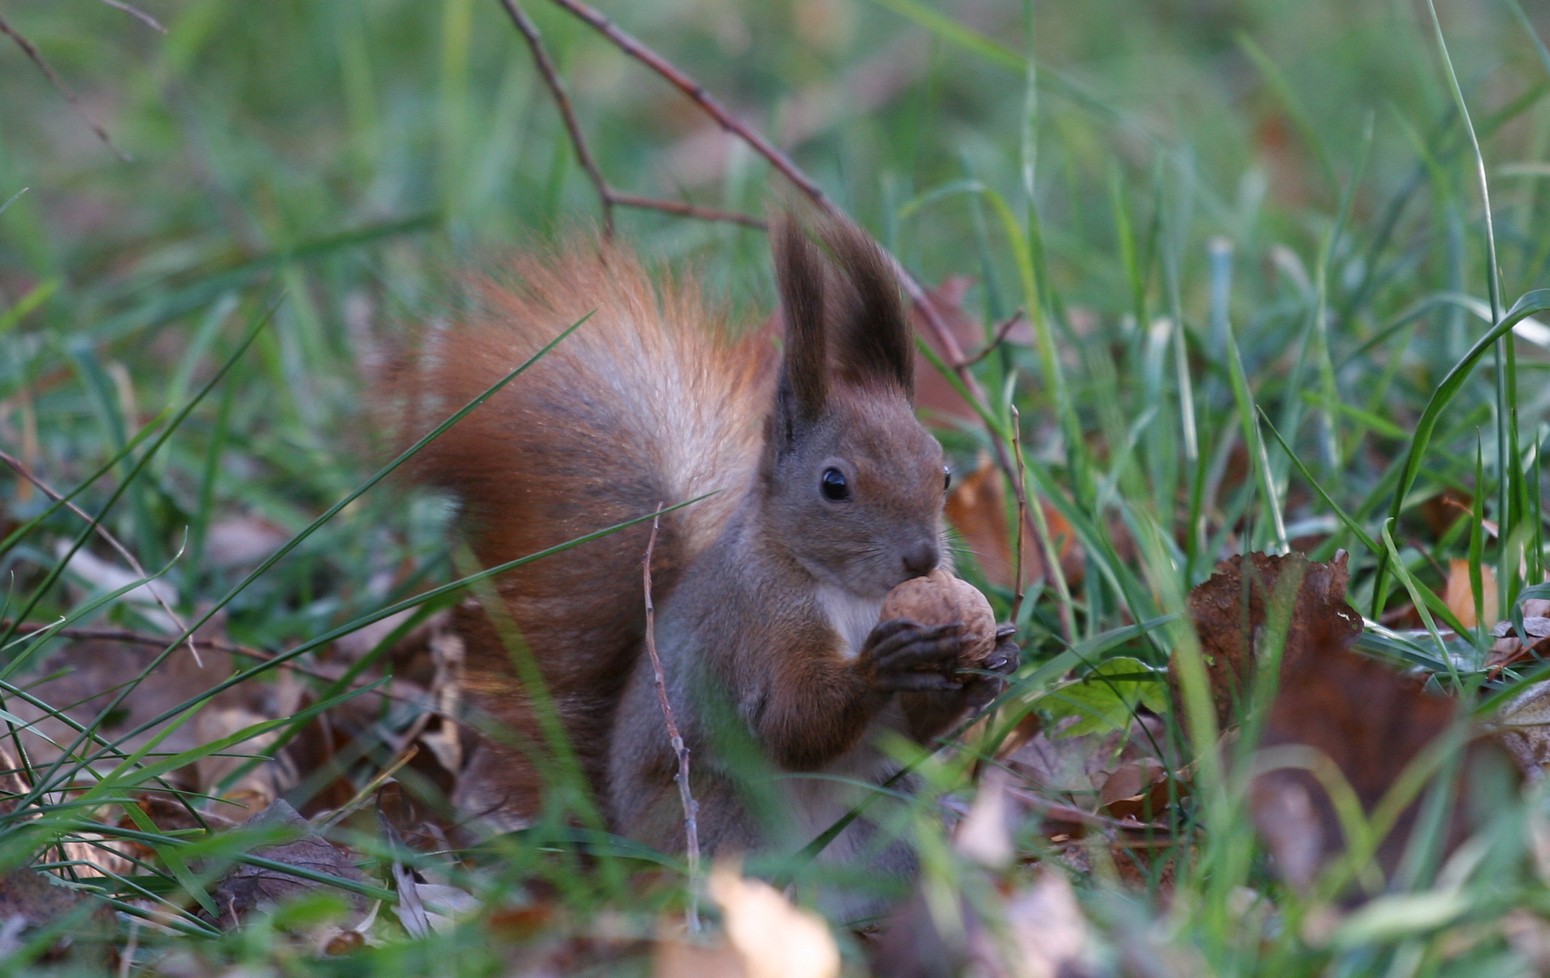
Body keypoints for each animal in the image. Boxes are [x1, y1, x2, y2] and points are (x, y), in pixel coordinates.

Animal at [387, 213, 1016, 905]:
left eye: (944, 472)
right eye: (833, 484)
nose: (922, 557)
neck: (851, 594)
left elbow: (908, 730)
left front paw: (992, 665)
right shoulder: (755, 624)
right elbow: (791, 723)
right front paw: (885, 664)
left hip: (892, 816)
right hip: (722, 815)